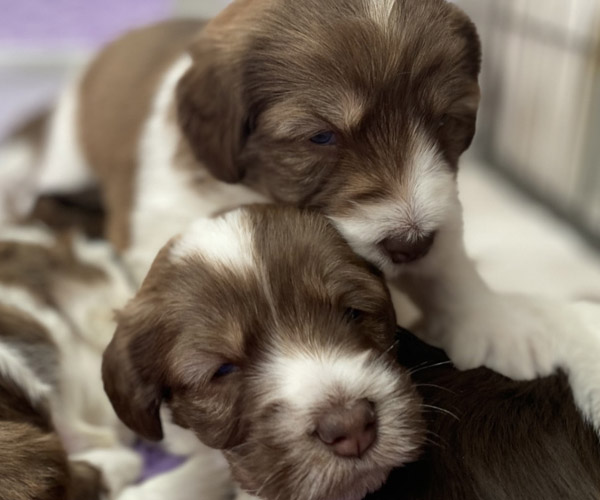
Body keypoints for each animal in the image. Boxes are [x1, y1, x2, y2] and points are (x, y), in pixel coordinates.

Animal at [5, 0, 599, 419]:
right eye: (320, 137)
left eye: (447, 119)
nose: (409, 244)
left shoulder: (440, 212)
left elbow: (450, 261)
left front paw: (496, 322)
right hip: (67, 158)